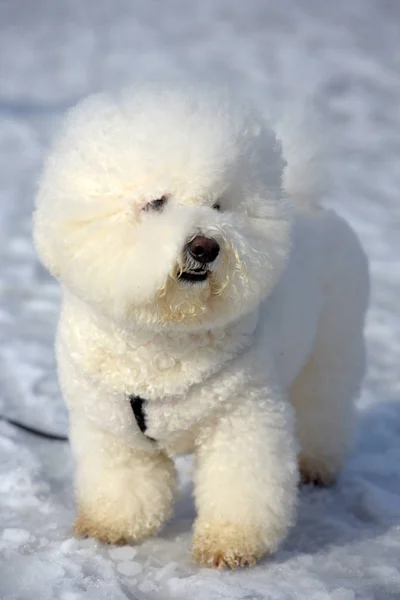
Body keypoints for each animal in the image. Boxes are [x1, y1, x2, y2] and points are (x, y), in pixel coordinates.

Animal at [32, 83, 370, 568]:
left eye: (218, 205)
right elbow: (122, 483)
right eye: (156, 202)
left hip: (333, 344)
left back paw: (317, 465)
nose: (205, 247)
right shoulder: (111, 428)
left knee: (325, 405)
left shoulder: (243, 415)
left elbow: (242, 485)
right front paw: (112, 526)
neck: (162, 336)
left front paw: (231, 545)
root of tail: (308, 202)